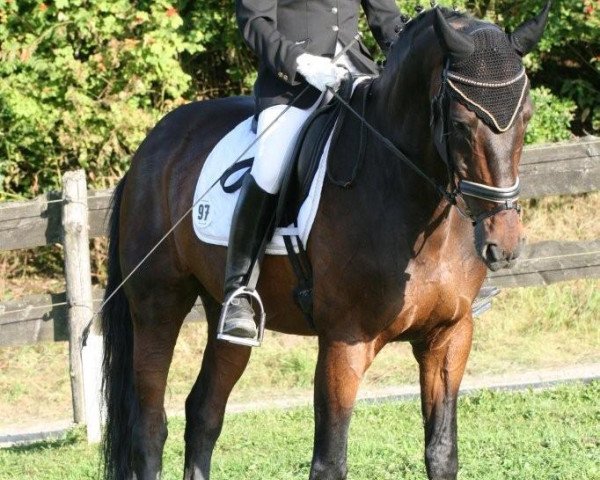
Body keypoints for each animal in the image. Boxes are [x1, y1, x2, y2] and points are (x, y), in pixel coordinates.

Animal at [102, 4, 548, 480]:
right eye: (462, 124)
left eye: (526, 117)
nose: (505, 244)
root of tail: (150, 149)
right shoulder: (343, 343)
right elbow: (330, 461)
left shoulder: (449, 336)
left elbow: (442, 453)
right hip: (158, 305)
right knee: (151, 427)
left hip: (227, 316)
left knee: (204, 412)